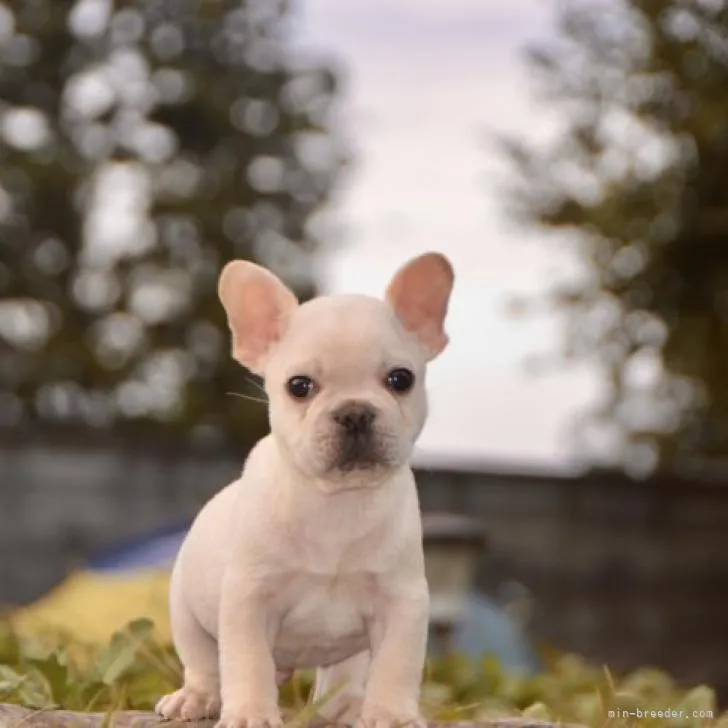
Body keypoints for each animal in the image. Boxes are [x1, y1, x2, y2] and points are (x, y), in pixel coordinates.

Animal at [156, 252, 456, 728]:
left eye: (401, 379)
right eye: (299, 386)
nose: (355, 412)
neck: (337, 503)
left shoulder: (402, 602)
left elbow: (396, 665)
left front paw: (391, 714)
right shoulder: (248, 599)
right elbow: (247, 662)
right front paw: (250, 713)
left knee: (342, 675)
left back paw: (345, 705)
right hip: (185, 612)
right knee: (204, 663)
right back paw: (197, 698)